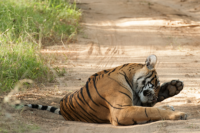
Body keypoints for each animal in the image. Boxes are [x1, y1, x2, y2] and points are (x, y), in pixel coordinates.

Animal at [21, 54, 187, 125]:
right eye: (156, 84)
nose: (156, 96)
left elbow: (150, 108)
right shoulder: (121, 111)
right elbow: (151, 111)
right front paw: (179, 114)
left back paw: (174, 88)